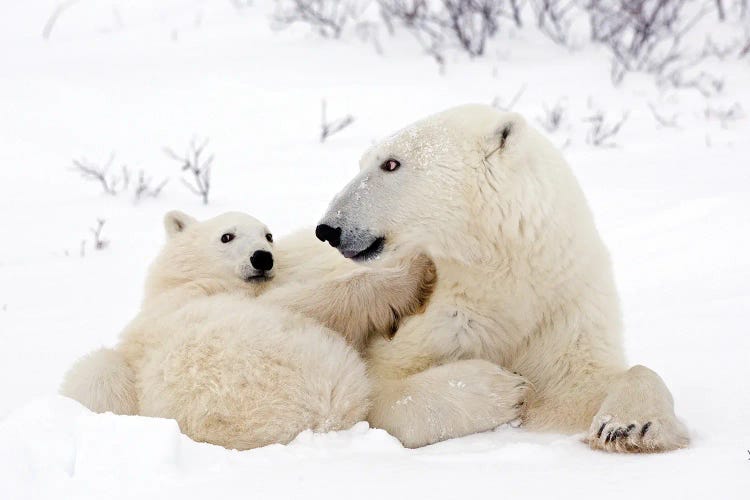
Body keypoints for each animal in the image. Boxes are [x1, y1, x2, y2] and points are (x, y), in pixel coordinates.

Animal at [314, 103, 692, 452]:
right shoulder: (431, 317)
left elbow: (579, 388)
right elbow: (379, 389)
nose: (329, 229)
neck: (501, 273)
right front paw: (502, 388)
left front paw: (628, 425)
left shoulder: (562, 307)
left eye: (391, 163)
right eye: (363, 162)